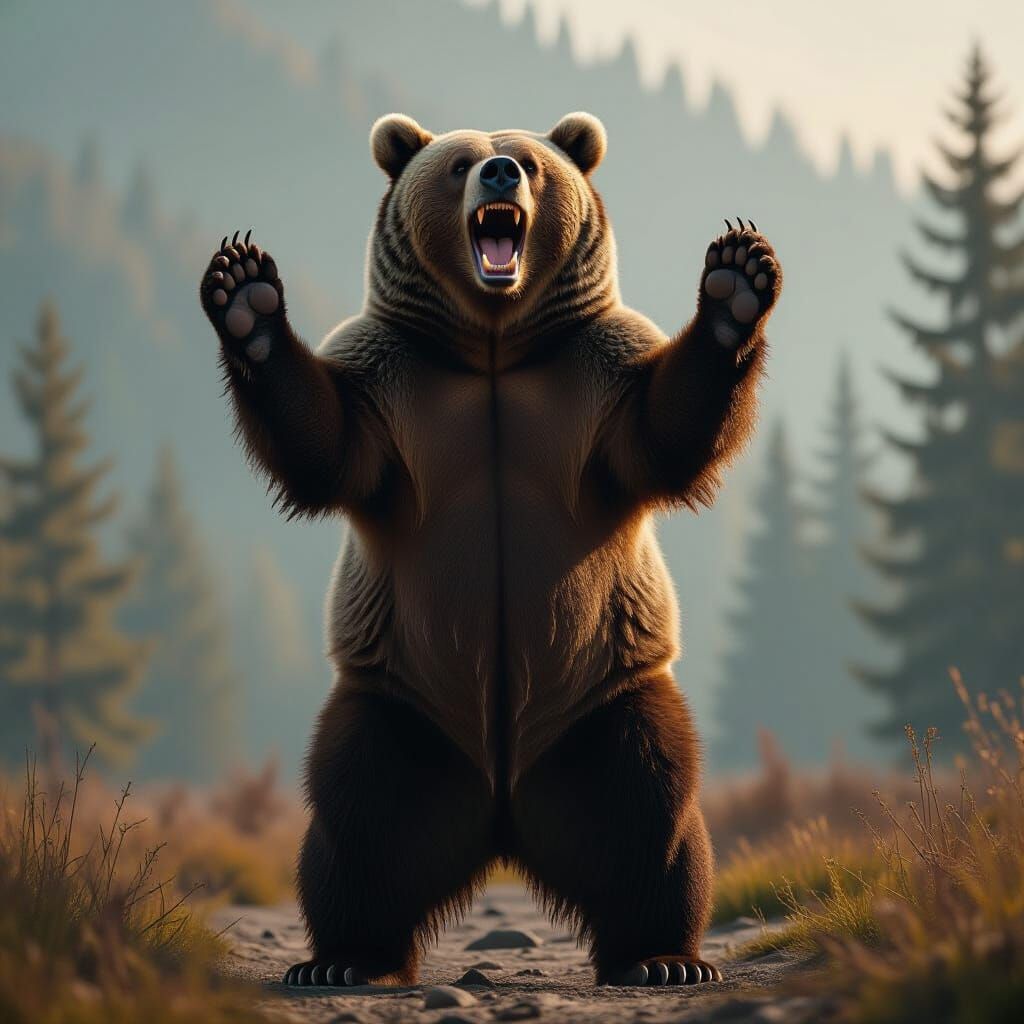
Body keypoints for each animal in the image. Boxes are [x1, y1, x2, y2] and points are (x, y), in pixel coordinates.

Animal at [199, 112, 781, 988]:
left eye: (533, 164)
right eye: (459, 165)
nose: (501, 173)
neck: (494, 353)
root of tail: (504, 817)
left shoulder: (591, 382)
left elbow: (665, 429)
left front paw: (736, 283)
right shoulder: (394, 386)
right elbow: (325, 442)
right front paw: (246, 297)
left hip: (605, 698)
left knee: (650, 812)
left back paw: (662, 956)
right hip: (401, 705)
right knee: (359, 819)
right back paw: (346, 958)